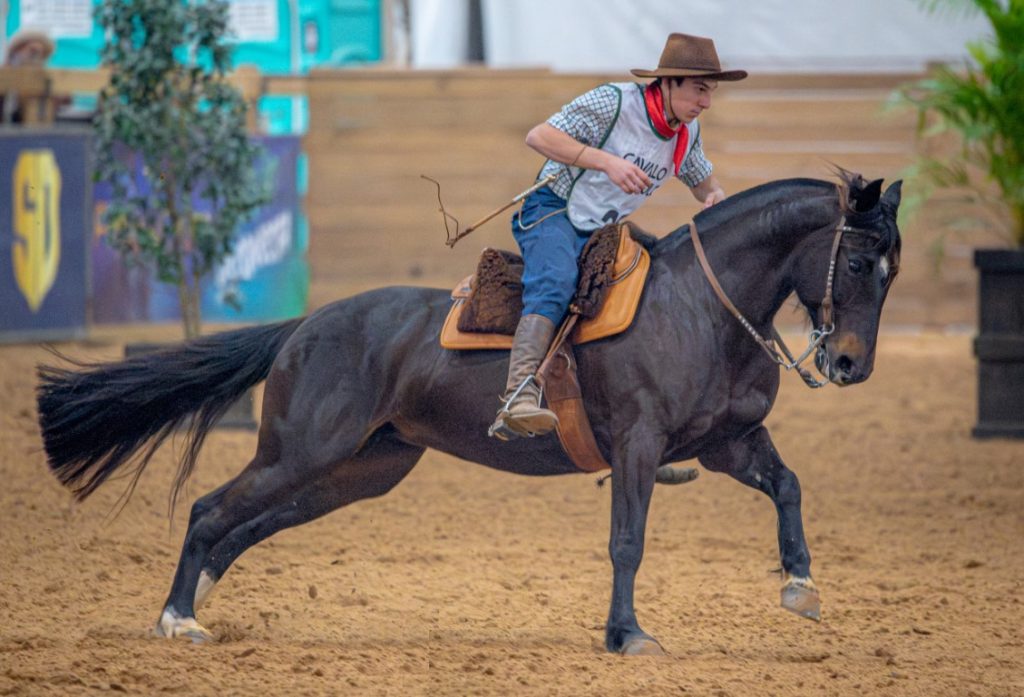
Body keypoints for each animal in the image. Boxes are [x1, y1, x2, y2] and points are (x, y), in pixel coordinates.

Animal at [37, 170, 905, 655]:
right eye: (861, 258)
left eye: (892, 267)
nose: (850, 364)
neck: (698, 305)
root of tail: (306, 324)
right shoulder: (638, 444)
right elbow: (627, 542)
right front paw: (627, 634)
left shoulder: (730, 440)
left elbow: (789, 486)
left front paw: (801, 584)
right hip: (298, 453)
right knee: (210, 508)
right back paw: (177, 618)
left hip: (359, 470)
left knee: (247, 524)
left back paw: (198, 602)